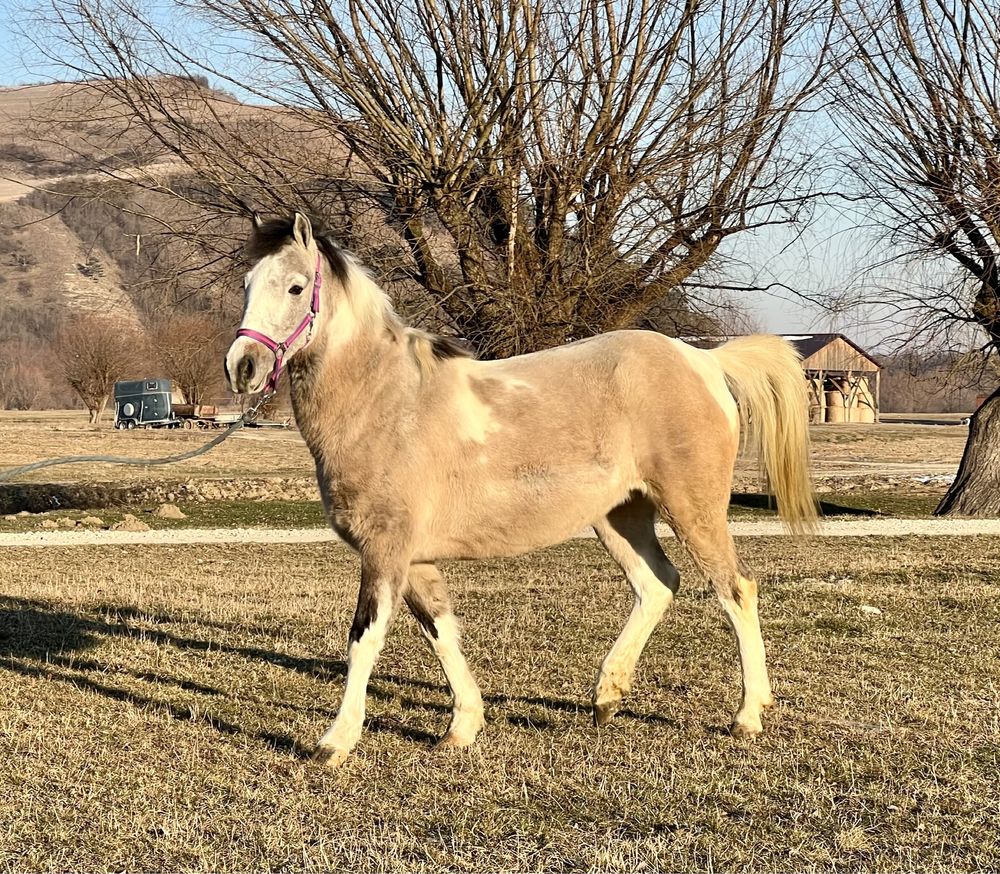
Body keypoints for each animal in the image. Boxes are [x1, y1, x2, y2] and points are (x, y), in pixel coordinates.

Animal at [225, 209, 812, 764]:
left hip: (693, 508)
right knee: (657, 584)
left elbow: (364, 638)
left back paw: (747, 716)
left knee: (735, 590)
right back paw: (606, 697)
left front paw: (335, 741)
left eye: (296, 286)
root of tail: (704, 360)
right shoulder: (414, 559)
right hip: (619, 516)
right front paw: (462, 727)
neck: (388, 402)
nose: (242, 366)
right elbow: (441, 631)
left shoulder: (384, 550)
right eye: (247, 283)